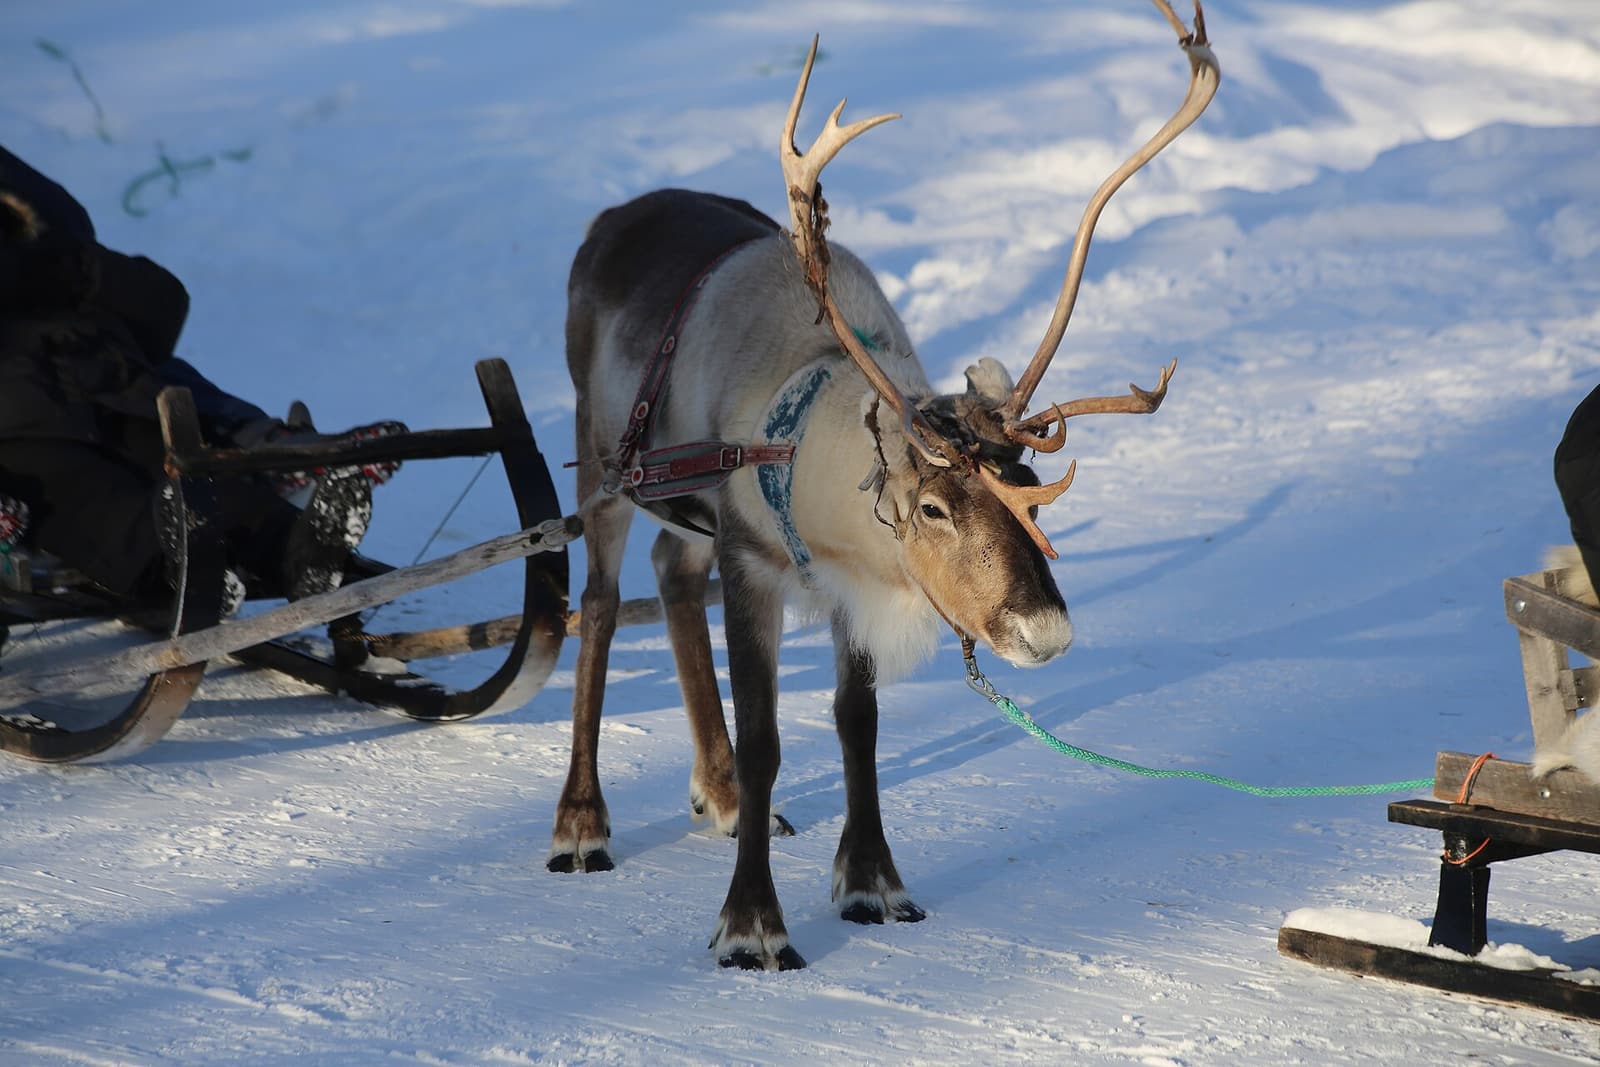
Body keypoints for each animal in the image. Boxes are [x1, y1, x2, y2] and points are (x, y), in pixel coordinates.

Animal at [549, 0, 1219, 970]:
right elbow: (768, 737)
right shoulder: (753, 562)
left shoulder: (853, 584)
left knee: (671, 577)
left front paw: (871, 881)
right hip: (602, 459)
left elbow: (854, 720)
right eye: (935, 506)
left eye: (1027, 480)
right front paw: (751, 924)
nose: (1047, 632)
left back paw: (719, 797)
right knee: (598, 606)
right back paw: (582, 823)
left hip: (679, 507)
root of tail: (608, 218)